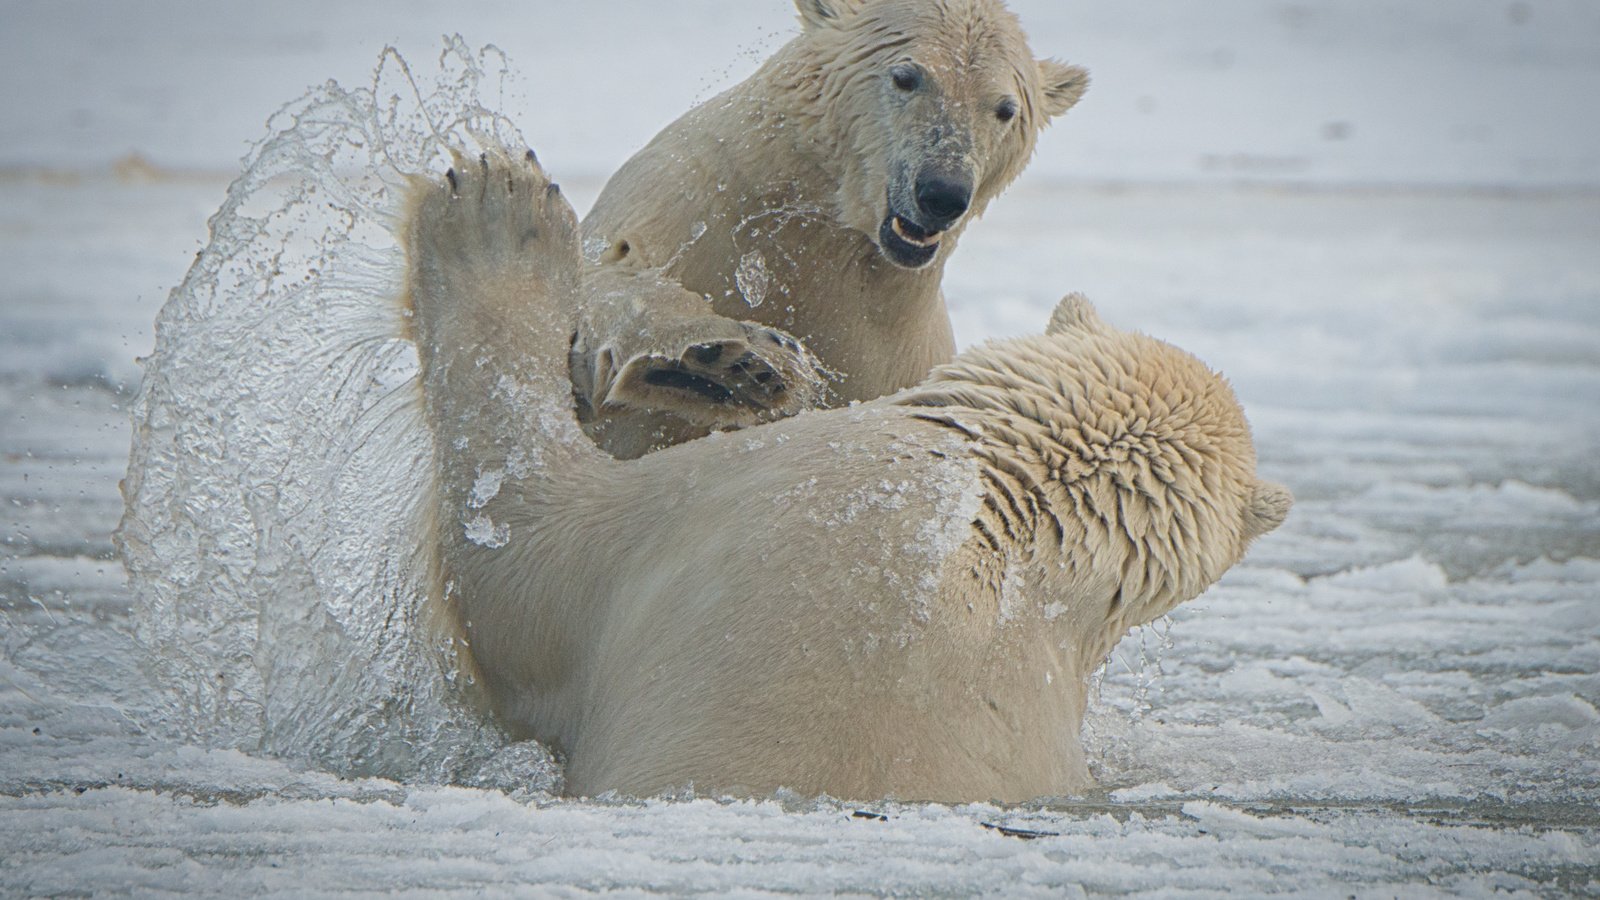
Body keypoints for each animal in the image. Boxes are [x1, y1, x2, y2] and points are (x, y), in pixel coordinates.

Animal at [572, 0, 1088, 454]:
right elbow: (601, 276)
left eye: (1005, 109)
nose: (942, 193)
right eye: (906, 77)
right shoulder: (690, 196)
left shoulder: (893, 350)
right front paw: (730, 364)